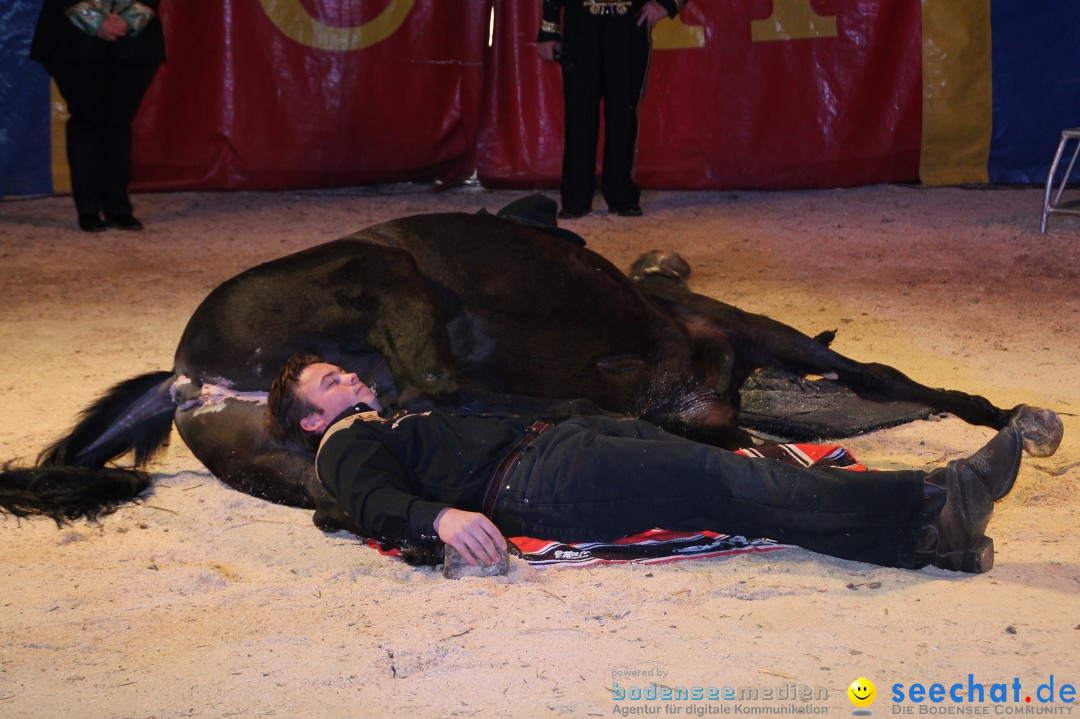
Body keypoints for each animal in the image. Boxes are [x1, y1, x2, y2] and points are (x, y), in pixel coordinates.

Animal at [0, 198, 1062, 539]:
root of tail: (189, 375)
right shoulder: (749, 334)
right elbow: (886, 377)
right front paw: (1007, 412)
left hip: (291, 453)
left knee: (346, 496)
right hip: (385, 275)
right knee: (442, 388)